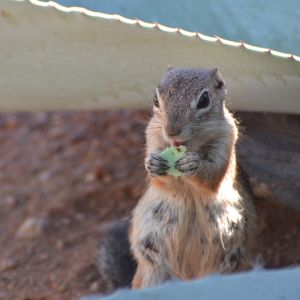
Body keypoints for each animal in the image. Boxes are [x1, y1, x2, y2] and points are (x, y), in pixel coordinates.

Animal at [97, 67, 256, 290]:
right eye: (156, 99)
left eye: (204, 99)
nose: (171, 131)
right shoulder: (152, 137)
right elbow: (158, 180)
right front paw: (153, 165)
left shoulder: (226, 142)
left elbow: (214, 175)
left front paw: (193, 165)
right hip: (153, 274)